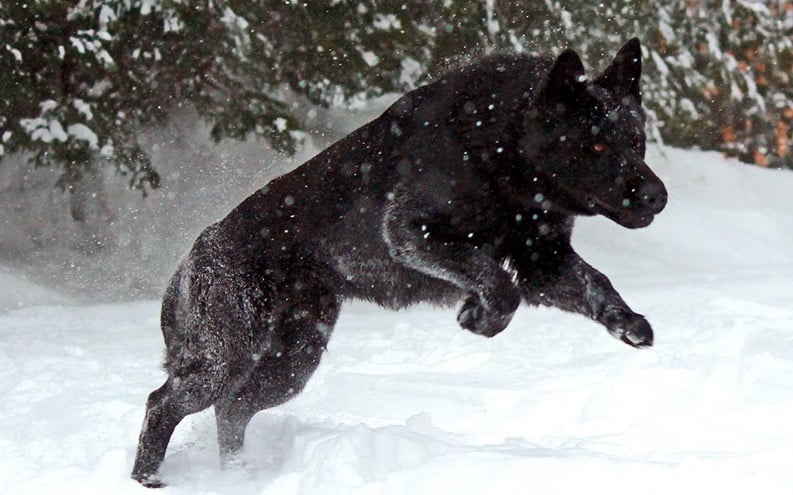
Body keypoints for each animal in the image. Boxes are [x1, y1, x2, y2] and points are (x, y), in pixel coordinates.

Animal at [133, 39, 664, 488]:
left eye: (636, 141)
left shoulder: (542, 261)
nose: (657, 197)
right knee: (164, 403)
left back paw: (239, 479)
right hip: (225, 358)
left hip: (293, 362)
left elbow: (596, 283)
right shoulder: (410, 233)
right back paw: (148, 479)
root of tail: (192, 258)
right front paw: (479, 317)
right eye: (597, 145)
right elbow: (498, 284)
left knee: (232, 410)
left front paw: (629, 323)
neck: (501, 145)